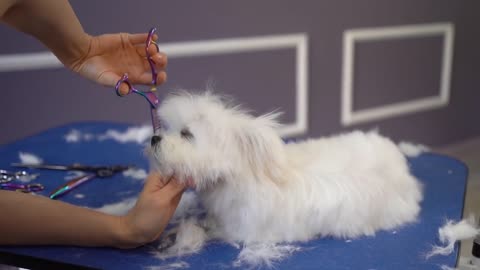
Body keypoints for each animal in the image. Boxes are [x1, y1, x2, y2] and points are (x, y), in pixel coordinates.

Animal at [148, 93, 422, 258]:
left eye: (186, 134)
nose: (154, 138)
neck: (239, 178)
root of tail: (397, 161)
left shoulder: (241, 230)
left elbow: (207, 230)